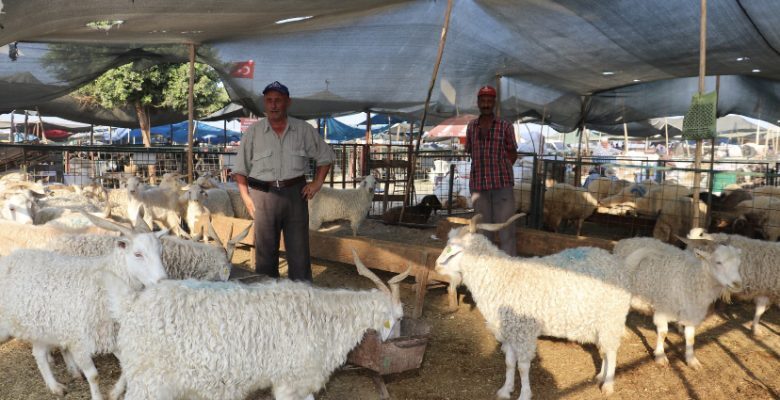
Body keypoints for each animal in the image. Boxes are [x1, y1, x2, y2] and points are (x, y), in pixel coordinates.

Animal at [0, 216, 168, 400]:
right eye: (138, 254)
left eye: (161, 252)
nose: (163, 280)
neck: (104, 281)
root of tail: (10, 258)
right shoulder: (79, 340)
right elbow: (94, 376)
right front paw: (98, 396)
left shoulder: (110, 335)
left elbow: (126, 367)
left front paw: (115, 392)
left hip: (40, 327)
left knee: (39, 353)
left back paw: (55, 386)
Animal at [103, 250, 408, 400]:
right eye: (399, 318)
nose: (395, 341)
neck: (326, 318)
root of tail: (131, 305)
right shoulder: (289, 381)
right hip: (150, 382)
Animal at [436, 214, 632, 398]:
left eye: (454, 251)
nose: (437, 267)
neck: (501, 276)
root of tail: (617, 264)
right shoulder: (509, 332)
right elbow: (509, 363)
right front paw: (506, 390)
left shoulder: (524, 331)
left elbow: (523, 367)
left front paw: (524, 394)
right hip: (601, 320)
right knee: (605, 349)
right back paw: (600, 376)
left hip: (612, 316)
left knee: (612, 350)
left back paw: (608, 385)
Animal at [612, 238, 740, 368]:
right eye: (718, 262)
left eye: (738, 264)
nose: (737, 284)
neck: (691, 276)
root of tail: (625, 241)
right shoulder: (663, 309)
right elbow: (663, 333)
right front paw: (660, 356)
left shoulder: (691, 313)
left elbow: (690, 338)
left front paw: (691, 359)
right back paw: (623, 332)